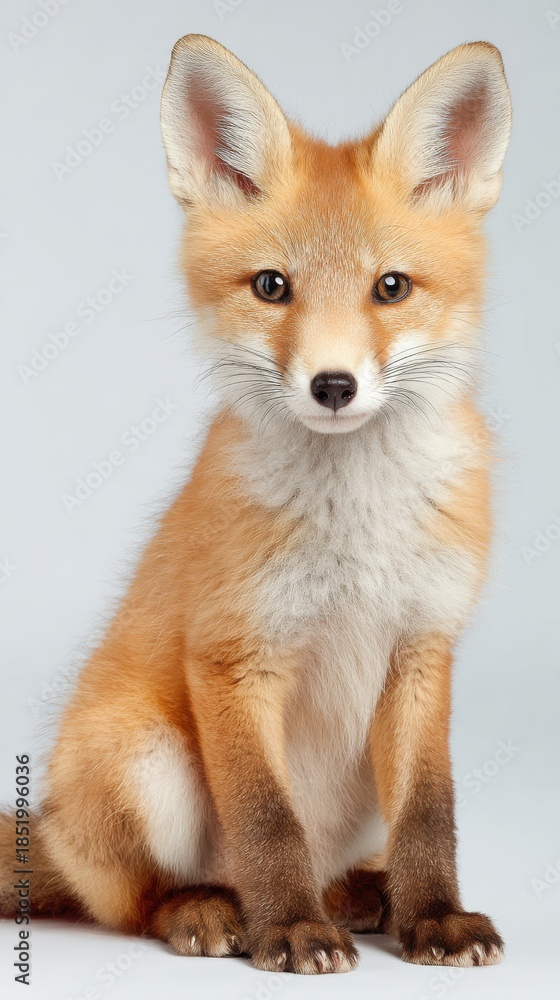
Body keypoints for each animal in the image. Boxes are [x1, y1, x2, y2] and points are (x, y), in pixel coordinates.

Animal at [0, 35, 512, 975]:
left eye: (391, 288)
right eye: (272, 286)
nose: (334, 385)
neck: (356, 531)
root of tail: (46, 832)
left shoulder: (423, 648)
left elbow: (431, 815)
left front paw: (433, 915)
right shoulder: (235, 654)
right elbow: (266, 821)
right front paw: (290, 930)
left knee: (345, 855)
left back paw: (362, 897)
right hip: (149, 760)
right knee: (132, 900)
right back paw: (212, 910)